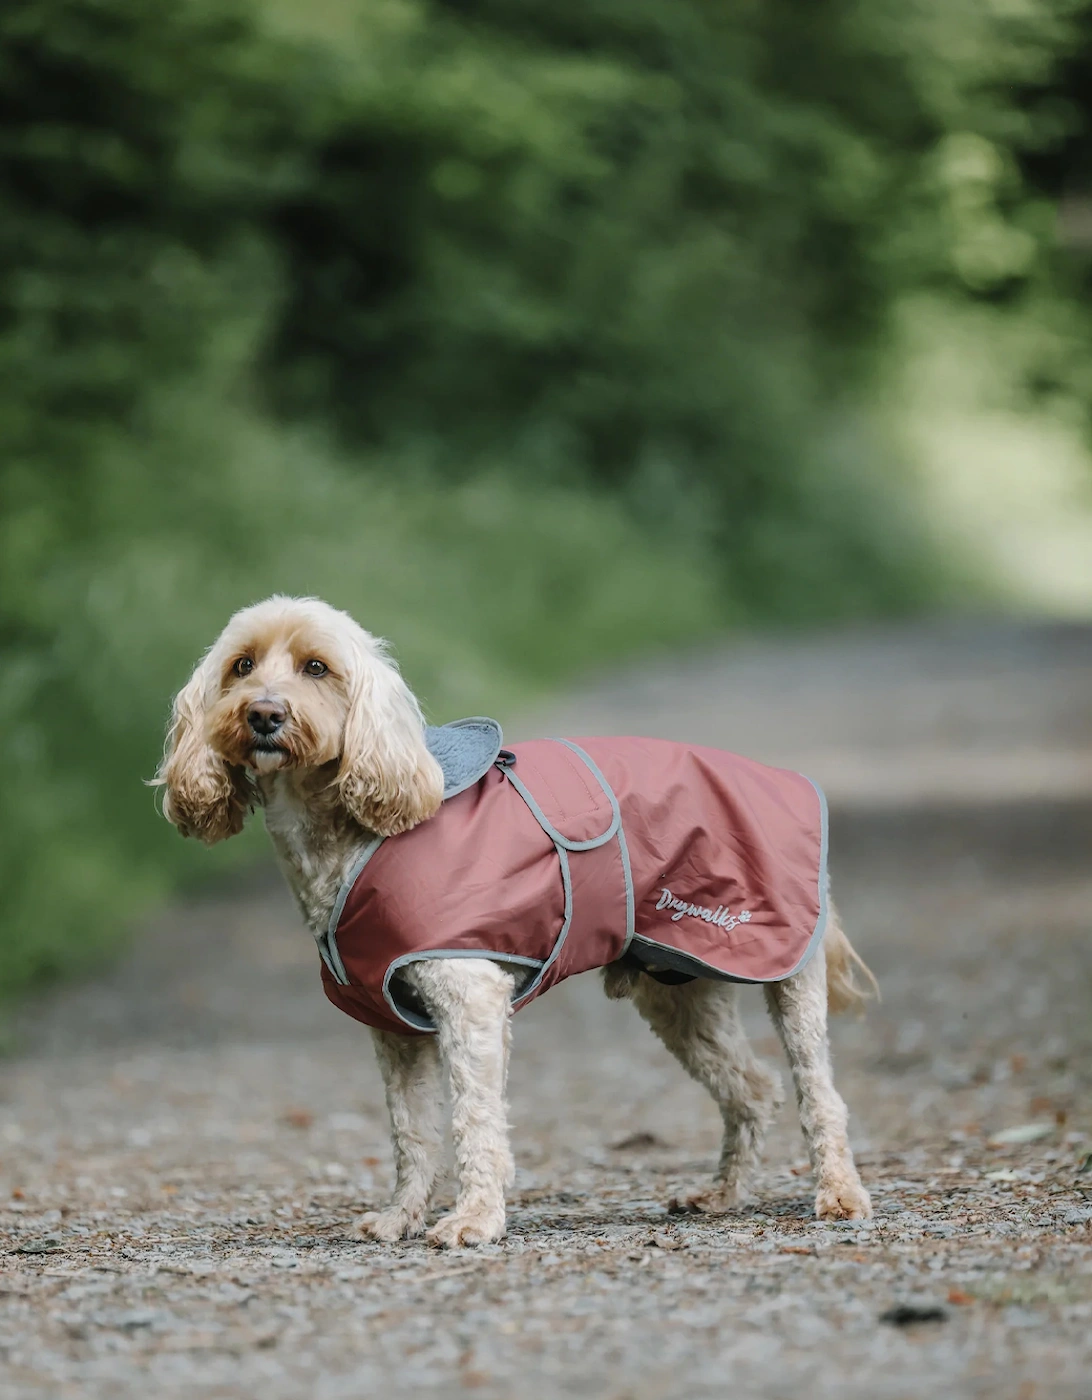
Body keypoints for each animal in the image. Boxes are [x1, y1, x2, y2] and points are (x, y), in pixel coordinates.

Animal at [155, 590, 879, 1248]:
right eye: (242, 665)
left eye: (316, 667)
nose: (263, 713)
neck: (351, 835)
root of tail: (783, 780)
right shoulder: (392, 1029)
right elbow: (411, 1131)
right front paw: (400, 1217)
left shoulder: (469, 997)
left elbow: (474, 1121)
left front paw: (473, 1220)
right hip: (679, 996)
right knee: (753, 1090)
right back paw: (722, 1195)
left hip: (784, 967)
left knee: (819, 1092)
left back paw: (839, 1193)